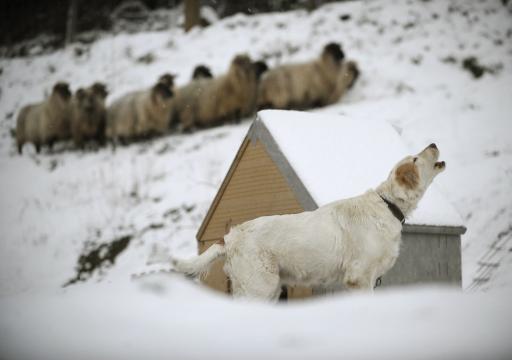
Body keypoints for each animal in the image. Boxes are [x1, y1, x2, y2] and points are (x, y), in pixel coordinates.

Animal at [172, 143, 444, 300]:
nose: (433, 143)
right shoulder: (359, 276)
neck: (387, 205)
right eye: (415, 159)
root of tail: (230, 236)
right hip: (260, 286)